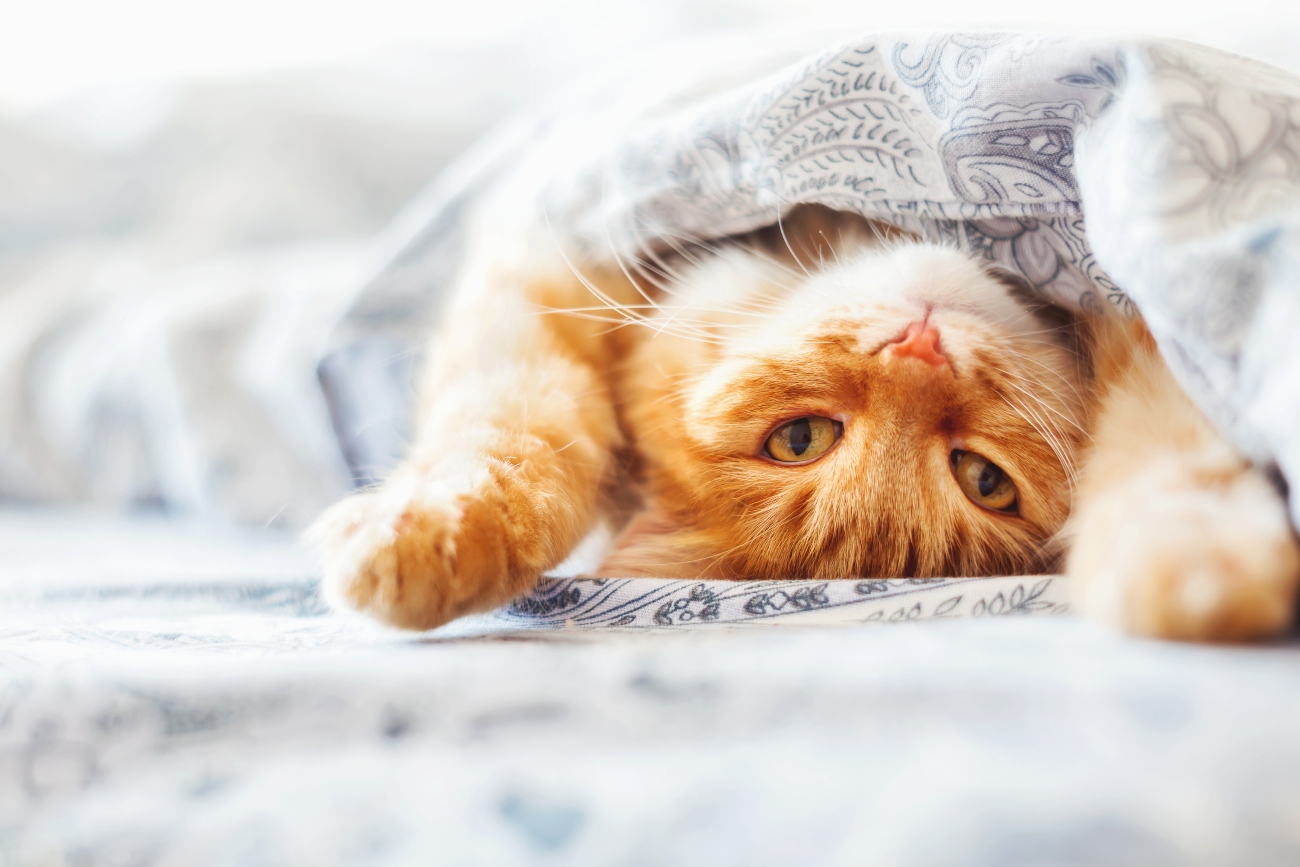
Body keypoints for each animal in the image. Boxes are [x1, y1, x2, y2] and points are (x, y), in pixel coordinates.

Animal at [309, 204, 1294, 636]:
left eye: (983, 478)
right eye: (802, 439)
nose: (922, 345)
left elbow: (1169, 445)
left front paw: (1192, 559)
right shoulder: (549, 266)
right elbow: (509, 419)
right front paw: (435, 529)